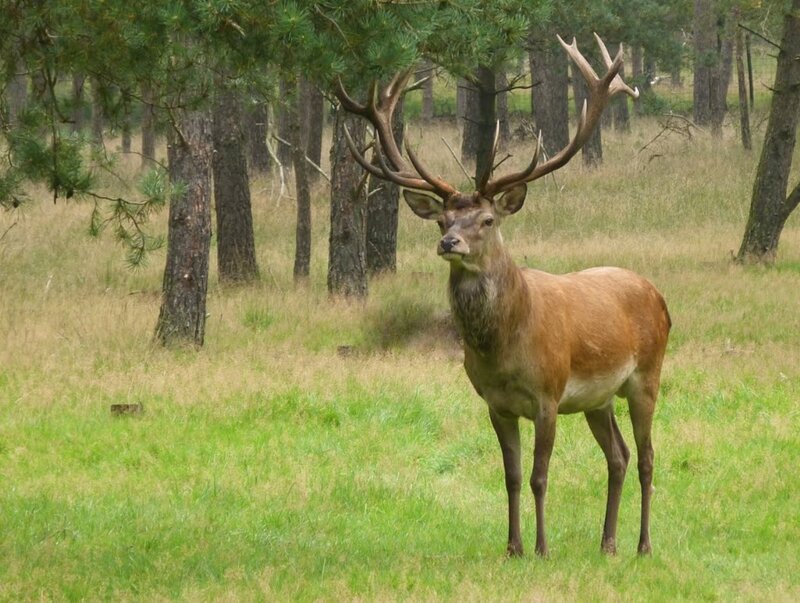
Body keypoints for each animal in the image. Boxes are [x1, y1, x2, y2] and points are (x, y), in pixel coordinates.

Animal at [334, 34, 671, 557]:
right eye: (442, 219)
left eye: (488, 219)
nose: (449, 243)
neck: (505, 347)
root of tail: (659, 297)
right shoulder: (494, 403)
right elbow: (511, 477)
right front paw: (512, 547)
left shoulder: (549, 394)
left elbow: (538, 476)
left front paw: (542, 548)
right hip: (598, 398)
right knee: (618, 455)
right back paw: (607, 543)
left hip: (647, 375)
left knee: (649, 456)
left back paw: (643, 545)